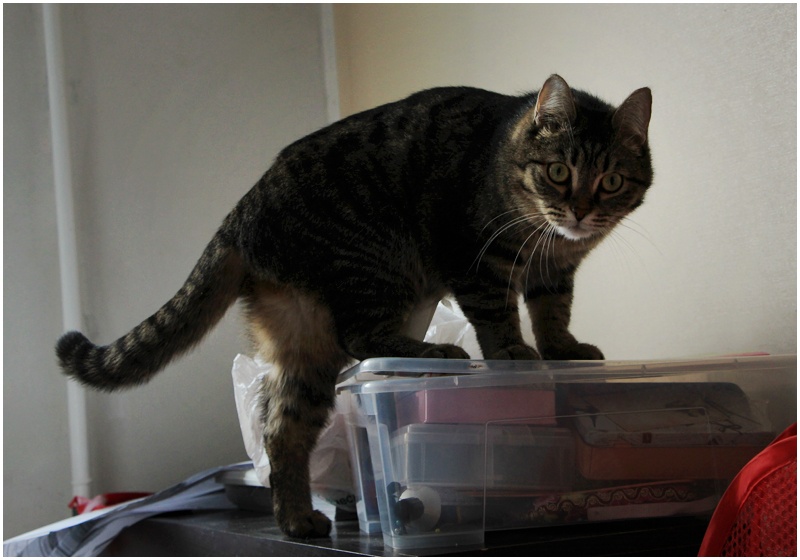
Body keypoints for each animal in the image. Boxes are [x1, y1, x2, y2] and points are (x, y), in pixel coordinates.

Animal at [56, 74, 652, 538]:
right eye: (558, 172)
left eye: (610, 180)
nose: (579, 211)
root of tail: (240, 213)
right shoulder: (477, 261)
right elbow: (498, 316)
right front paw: (514, 353)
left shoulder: (554, 276)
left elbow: (554, 313)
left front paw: (563, 350)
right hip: (379, 269)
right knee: (362, 338)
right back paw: (434, 353)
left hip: (306, 346)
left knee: (282, 429)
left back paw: (296, 519)